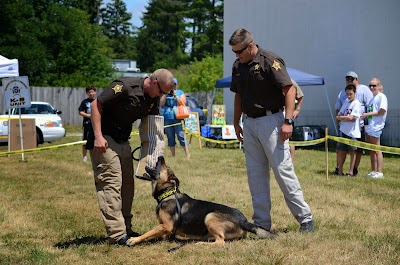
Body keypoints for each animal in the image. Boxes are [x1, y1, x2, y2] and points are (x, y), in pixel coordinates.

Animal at [129, 155, 276, 245]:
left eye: (166, 167)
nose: (160, 156)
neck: (167, 194)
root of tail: (244, 221)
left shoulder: (166, 226)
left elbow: (149, 233)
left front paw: (134, 239)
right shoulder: (165, 228)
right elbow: (155, 235)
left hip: (209, 216)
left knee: (221, 242)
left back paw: (200, 243)